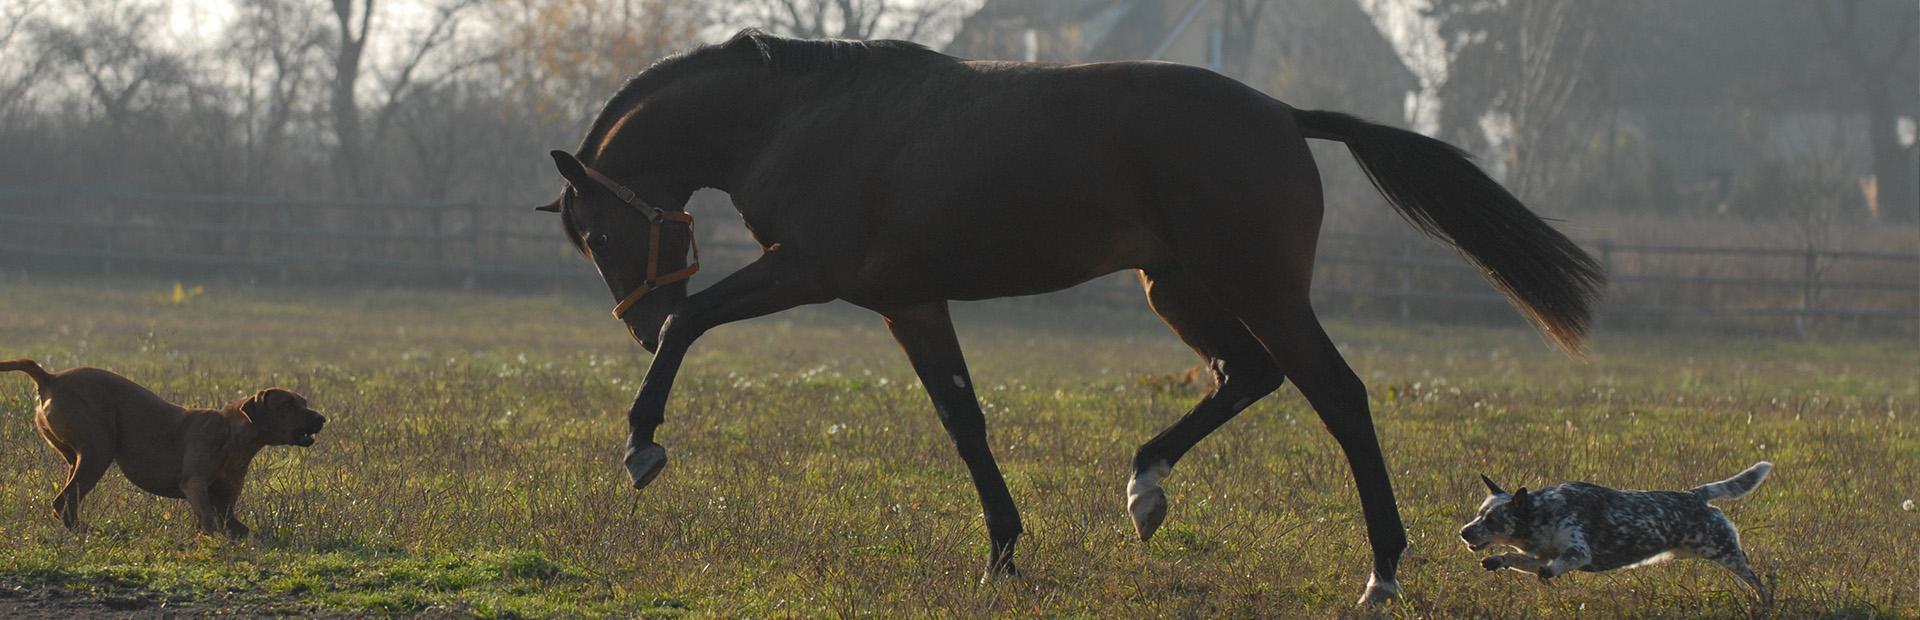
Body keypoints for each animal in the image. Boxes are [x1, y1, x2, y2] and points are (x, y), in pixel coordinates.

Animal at [1, 358, 324, 537]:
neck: (233, 435)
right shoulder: (195, 484)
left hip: (77, 456)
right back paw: (87, 532)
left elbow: (233, 525)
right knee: (63, 501)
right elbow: (210, 521)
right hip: (98, 451)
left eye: (304, 401)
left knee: (66, 500)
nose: (322, 418)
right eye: (288, 404)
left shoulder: (226, 497)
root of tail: (50, 377)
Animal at [533, 30, 1597, 606]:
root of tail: (1286, 116)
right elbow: (963, 420)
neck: (800, 119)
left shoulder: (808, 270)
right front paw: (1002, 553)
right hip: (1177, 289)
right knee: (1248, 377)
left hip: (1259, 291)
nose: (636, 319)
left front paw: (642, 444)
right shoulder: (908, 301)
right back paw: (1146, 487)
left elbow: (698, 327)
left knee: (1337, 396)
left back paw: (1382, 572)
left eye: (599, 234)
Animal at [1459, 464, 1774, 606]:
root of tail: (1695, 495)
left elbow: (1555, 565)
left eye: (1491, 519)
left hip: (1729, 555)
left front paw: (1549, 572)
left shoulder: (1577, 553)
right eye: (1479, 513)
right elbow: (1514, 558)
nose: (1463, 532)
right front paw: (1497, 560)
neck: (1542, 514)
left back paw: (1765, 602)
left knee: (1760, 582)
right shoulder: (1537, 555)